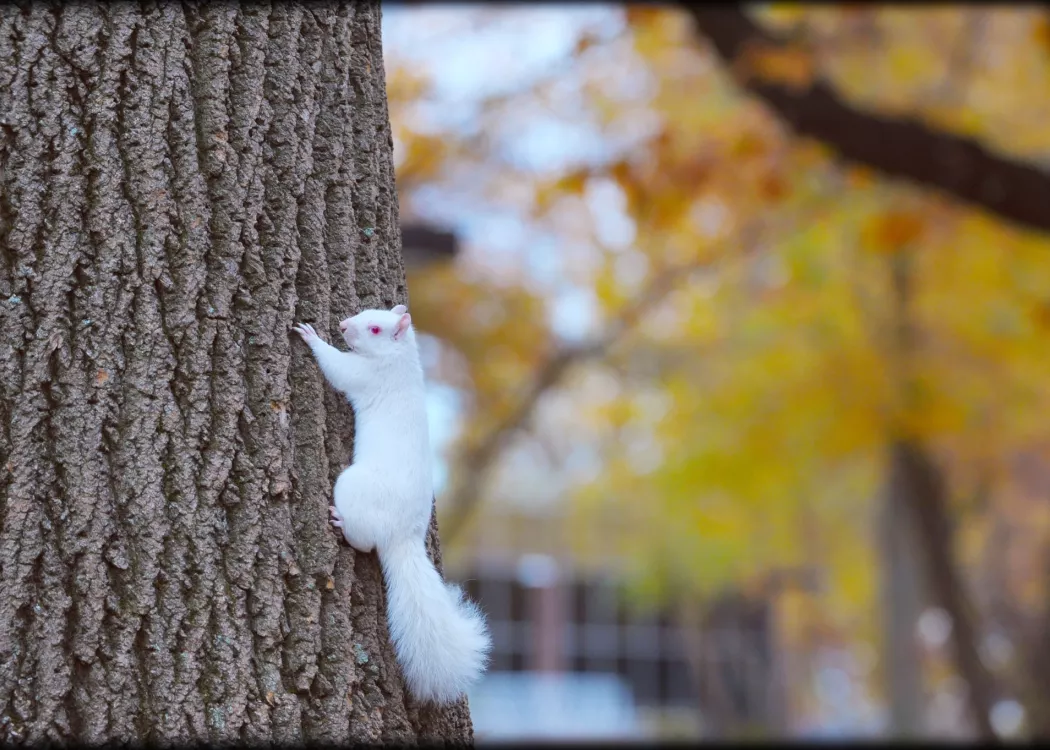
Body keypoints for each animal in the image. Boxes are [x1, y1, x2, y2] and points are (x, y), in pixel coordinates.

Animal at [292, 304, 491, 705]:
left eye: (374, 328)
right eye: (365, 311)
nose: (341, 326)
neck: (400, 360)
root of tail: (402, 535)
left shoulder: (367, 375)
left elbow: (337, 368)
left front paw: (311, 336)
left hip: (352, 487)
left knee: (363, 542)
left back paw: (339, 521)